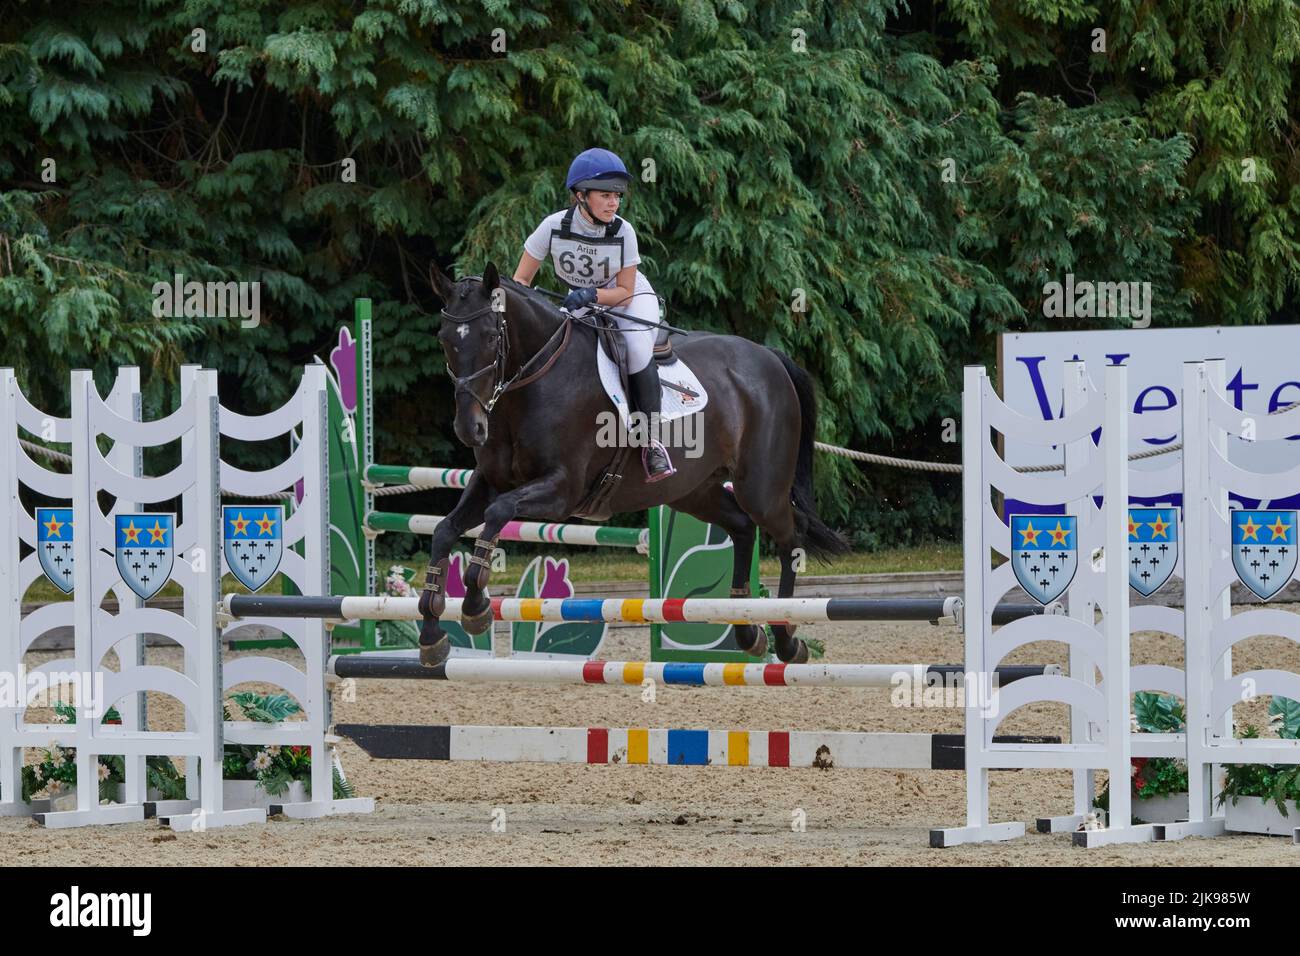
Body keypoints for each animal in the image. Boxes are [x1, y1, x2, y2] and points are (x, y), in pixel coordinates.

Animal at [410, 261, 847, 665]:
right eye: (444, 339)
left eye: (490, 336)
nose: (470, 428)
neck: (535, 380)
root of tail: (768, 356)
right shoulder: (490, 481)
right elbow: (445, 530)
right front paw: (432, 634)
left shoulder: (562, 489)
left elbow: (498, 513)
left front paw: (475, 605)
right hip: (693, 491)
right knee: (741, 527)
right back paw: (747, 631)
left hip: (760, 488)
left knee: (789, 538)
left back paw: (786, 640)